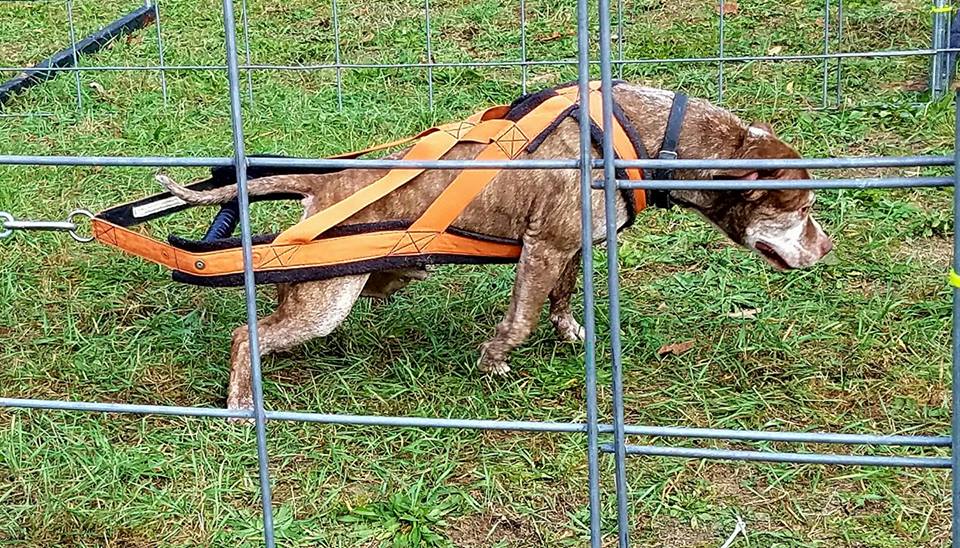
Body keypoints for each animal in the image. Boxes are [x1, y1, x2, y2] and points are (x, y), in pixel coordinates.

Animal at [158, 83, 832, 412]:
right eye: (802, 209)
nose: (824, 250)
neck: (646, 138)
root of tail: (323, 183)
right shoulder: (544, 247)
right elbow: (520, 320)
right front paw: (493, 361)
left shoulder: (571, 248)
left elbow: (562, 300)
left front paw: (571, 332)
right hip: (323, 301)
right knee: (245, 335)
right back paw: (243, 400)